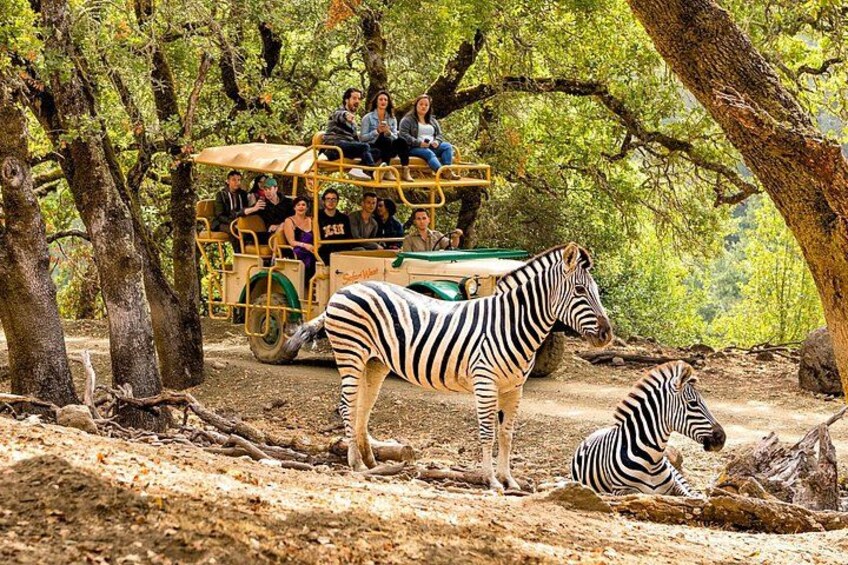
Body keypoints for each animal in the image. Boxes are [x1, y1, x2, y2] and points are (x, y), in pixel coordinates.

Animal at [285, 243, 612, 490]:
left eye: (596, 290)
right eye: (580, 290)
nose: (607, 335)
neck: (510, 323)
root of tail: (341, 292)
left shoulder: (514, 387)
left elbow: (507, 435)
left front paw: (509, 479)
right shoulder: (485, 381)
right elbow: (487, 433)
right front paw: (491, 480)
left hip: (375, 362)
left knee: (363, 408)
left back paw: (370, 462)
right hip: (350, 354)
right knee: (347, 406)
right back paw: (354, 463)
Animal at [570, 360, 725, 497]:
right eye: (693, 404)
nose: (722, 437)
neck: (651, 460)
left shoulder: (674, 485)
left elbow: (690, 496)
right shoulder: (621, 490)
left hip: (676, 472)